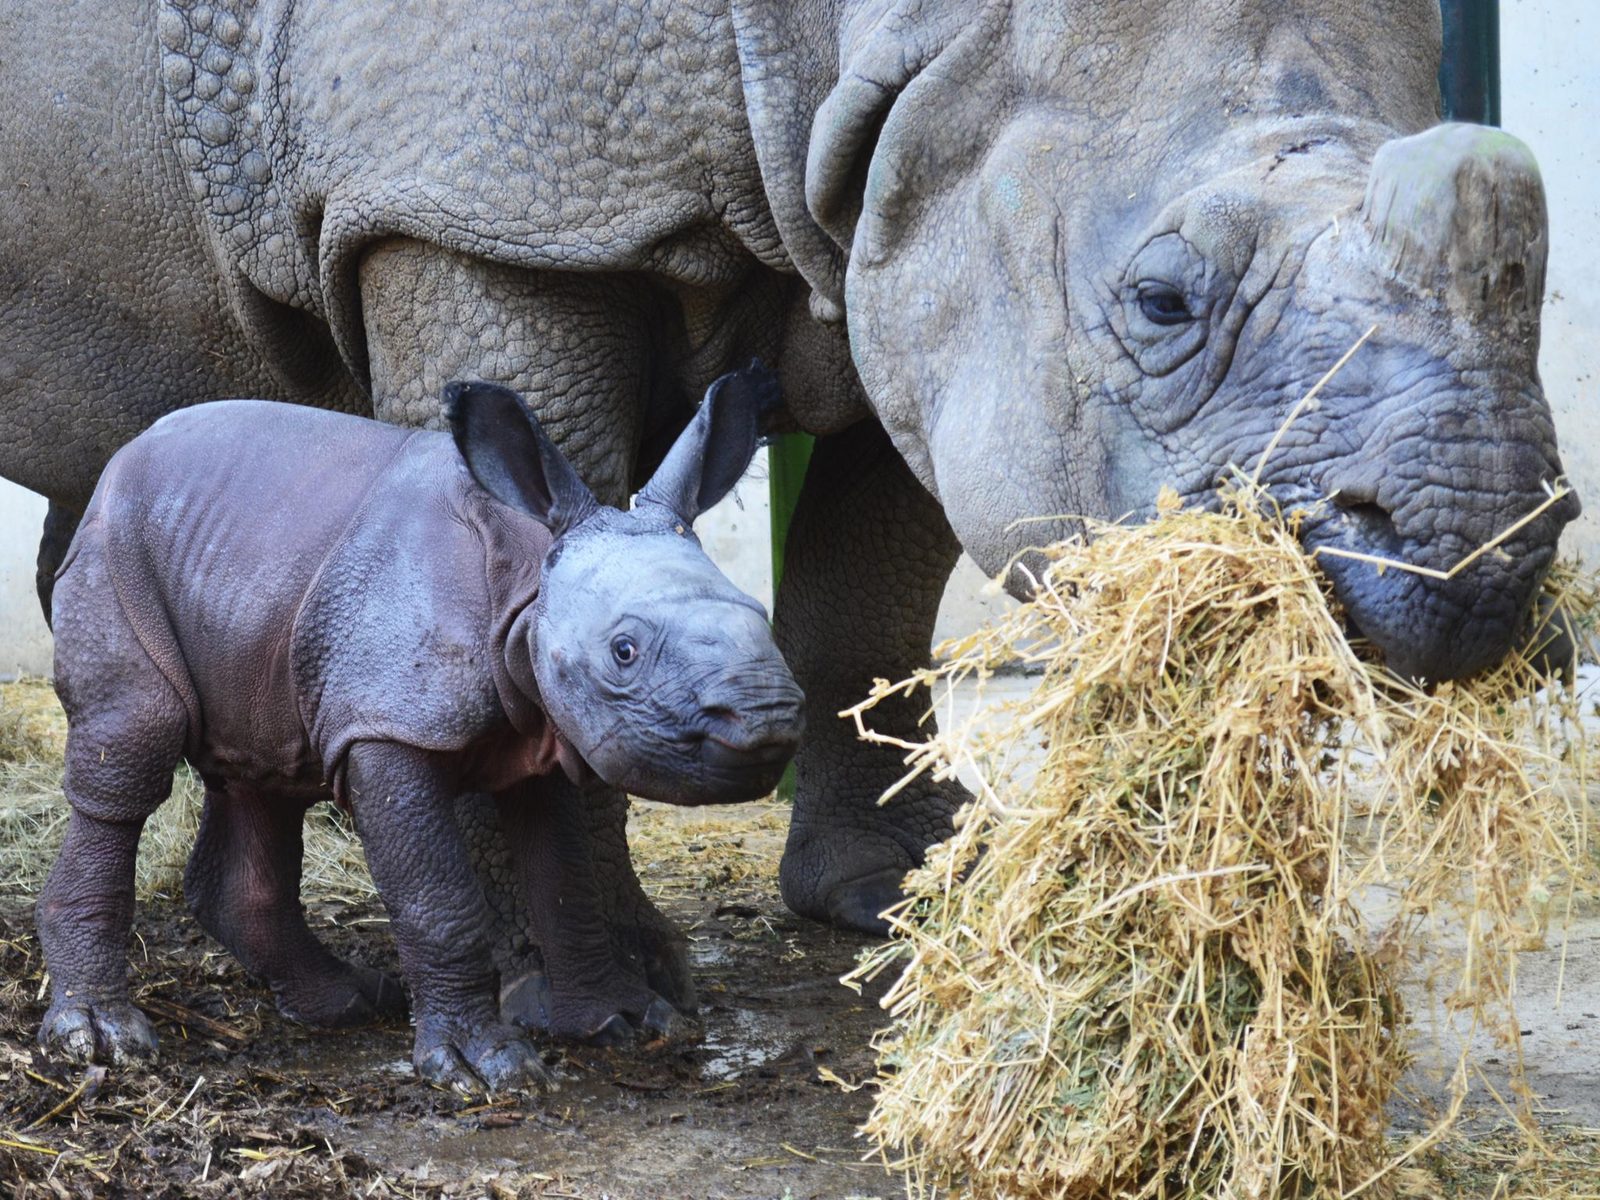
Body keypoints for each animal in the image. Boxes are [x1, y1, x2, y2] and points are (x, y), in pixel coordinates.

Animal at [40, 366, 800, 1100]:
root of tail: (125, 456)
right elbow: (439, 901)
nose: (766, 716)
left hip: (250, 575)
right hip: (115, 548)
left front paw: (626, 1020)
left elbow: (564, 879)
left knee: (266, 770)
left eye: (762, 616)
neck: (528, 577)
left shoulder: (542, 729)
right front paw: (484, 1069)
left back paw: (348, 1003)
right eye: (625, 651)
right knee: (133, 749)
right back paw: (103, 1037)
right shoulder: (388, 724)